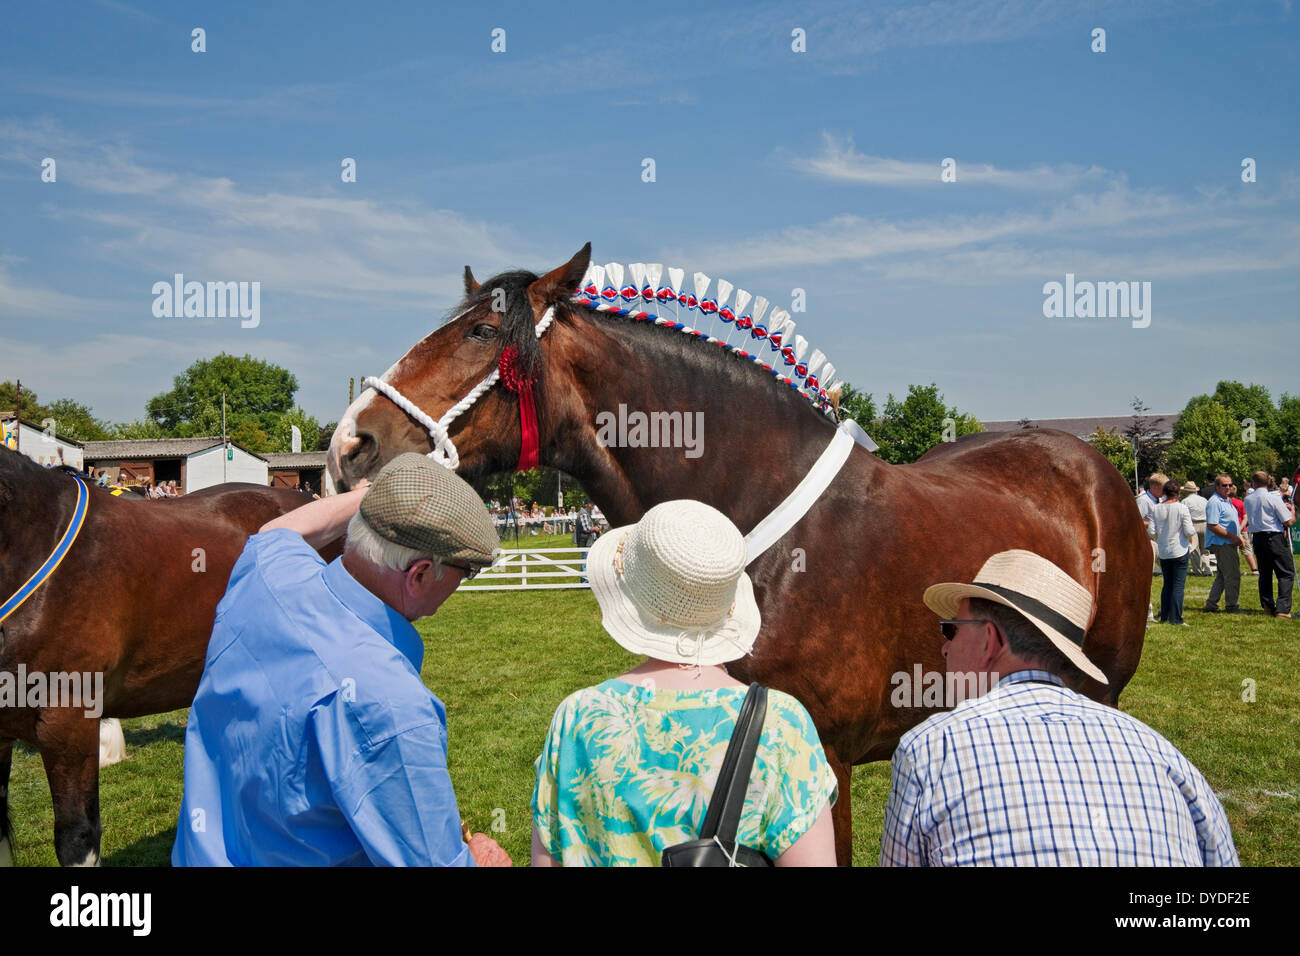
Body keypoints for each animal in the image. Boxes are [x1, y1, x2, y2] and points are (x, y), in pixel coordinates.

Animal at [325, 243, 1149, 863]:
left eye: (481, 337)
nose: (349, 444)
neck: (763, 537)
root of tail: (1093, 466)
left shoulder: (827, 763)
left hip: (1101, 692)